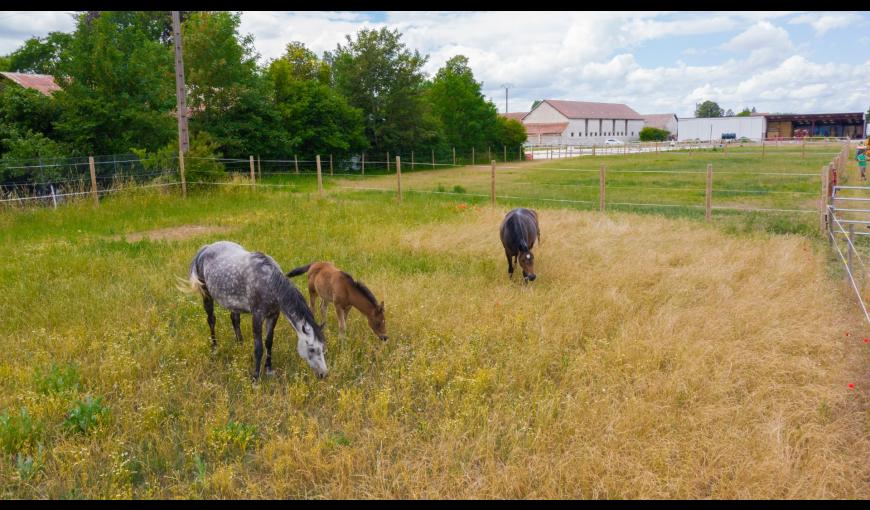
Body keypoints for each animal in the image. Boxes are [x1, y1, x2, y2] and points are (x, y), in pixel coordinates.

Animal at [182, 241, 328, 380]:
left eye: (322, 348)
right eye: (311, 349)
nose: (324, 374)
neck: (269, 283)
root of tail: (205, 248)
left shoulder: (273, 315)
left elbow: (269, 342)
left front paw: (269, 370)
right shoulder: (257, 316)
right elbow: (258, 348)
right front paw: (255, 378)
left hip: (233, 302)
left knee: (235, 319)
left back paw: (240, 344)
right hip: (206, 294)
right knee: (211, 320)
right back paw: (214, 348)